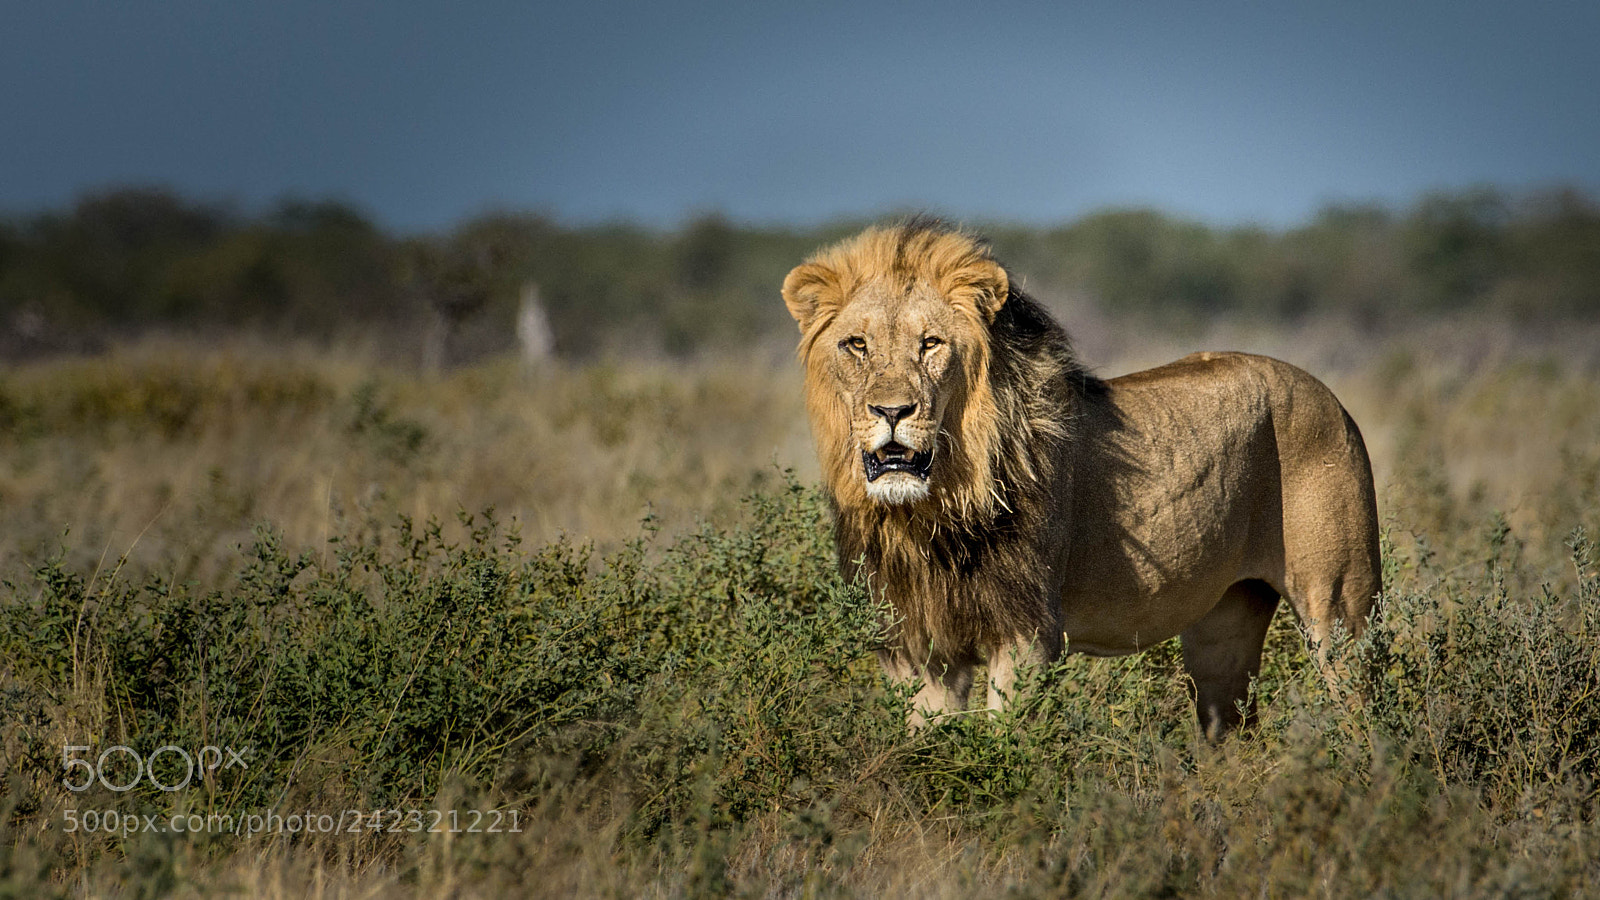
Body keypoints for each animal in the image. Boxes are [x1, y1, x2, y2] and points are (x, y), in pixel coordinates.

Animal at [782, 217, 1381, 739]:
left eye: (931, 343)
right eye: (856, 345)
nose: (891, 411)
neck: (932, 511)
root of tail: (1330, 396)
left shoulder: (1026, 632)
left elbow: (1001, 751)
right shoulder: (914, 644)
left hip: (1340, 606)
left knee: (1364, 711)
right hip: (1225, 625)